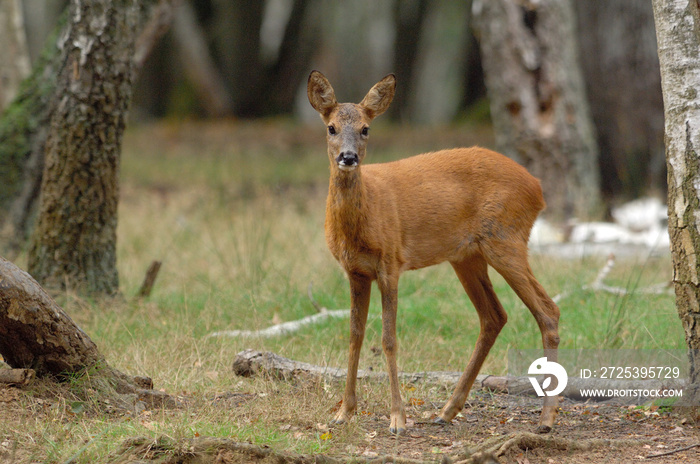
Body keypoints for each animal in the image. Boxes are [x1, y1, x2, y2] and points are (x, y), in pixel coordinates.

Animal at [308, 70, 560, 436]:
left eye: (366, 128)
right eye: (331, 128)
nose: (348, 157)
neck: (364, 216)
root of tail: (538, 189)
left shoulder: (391, 262)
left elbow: (388, 338)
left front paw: (397, 419)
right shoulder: (355, 270)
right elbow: (355, 335)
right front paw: (344, 413)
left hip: (506, 240)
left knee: (547, 310)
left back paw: (546, 419)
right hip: (466, 256)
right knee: (494, 316)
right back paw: (447, 411)